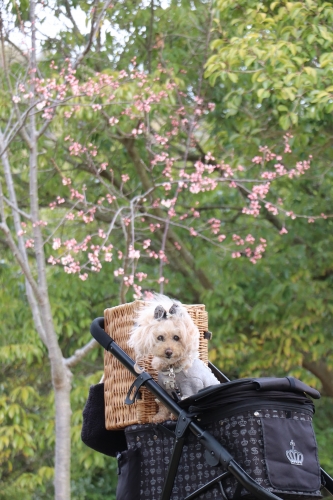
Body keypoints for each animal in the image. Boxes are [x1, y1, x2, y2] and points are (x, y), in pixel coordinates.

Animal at [127, 294, 220, 424]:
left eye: (176, 337)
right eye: (160, 337)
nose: (168, 352)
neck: (172, 368)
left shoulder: (190, 386)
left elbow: (185, 403)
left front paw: (175, 417)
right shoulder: (165, 390)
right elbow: (164, 405)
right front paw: (159, 417)